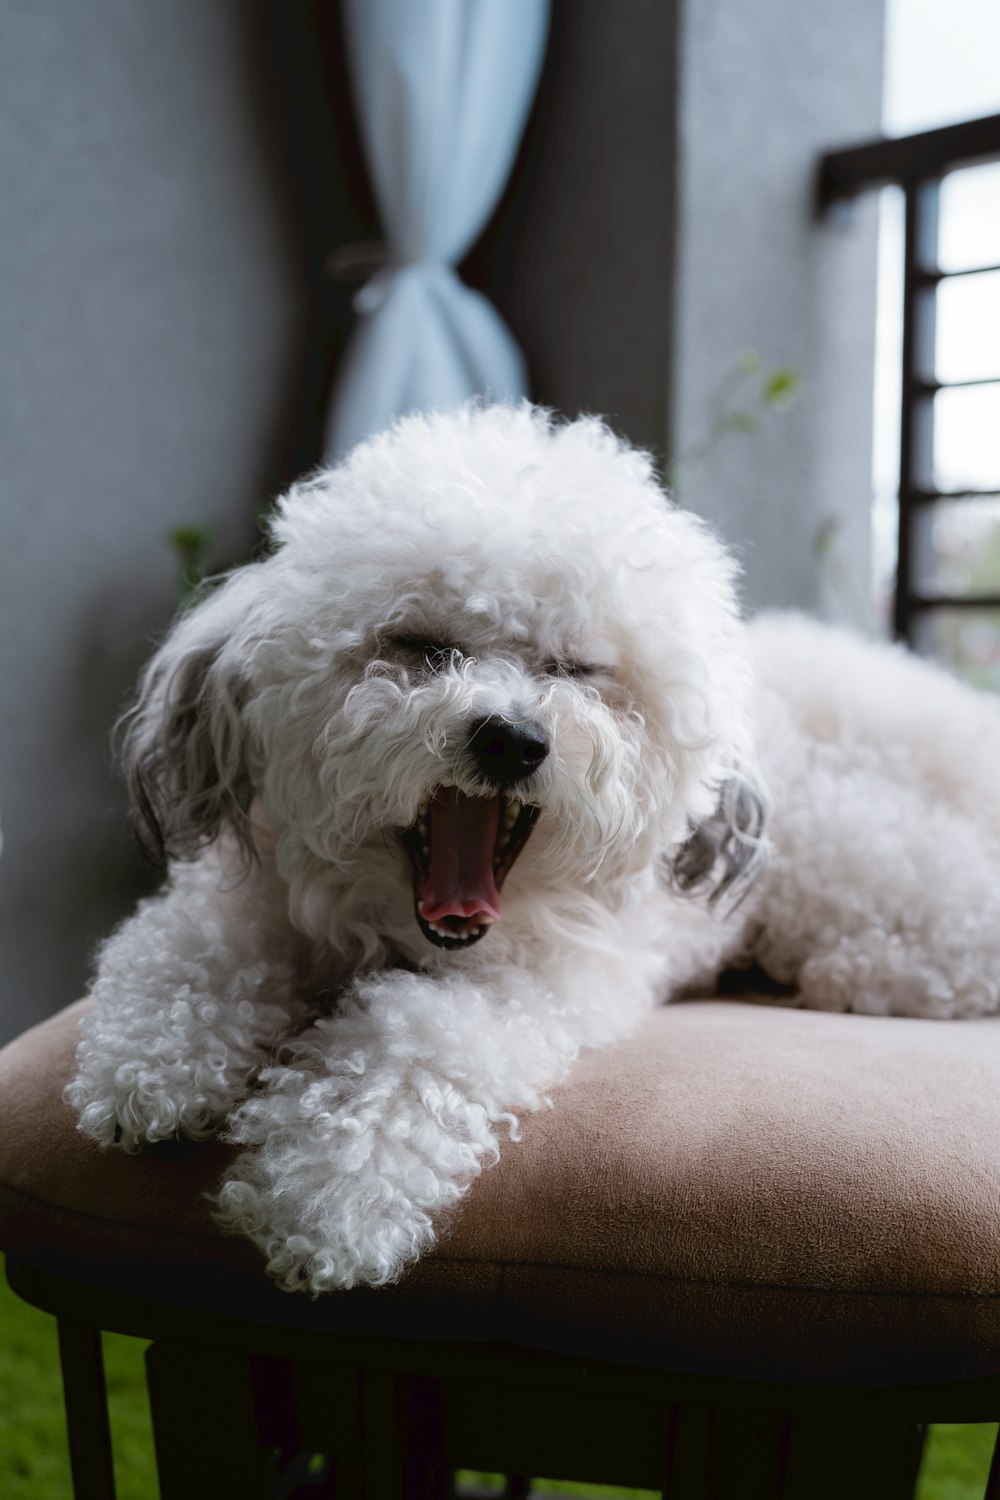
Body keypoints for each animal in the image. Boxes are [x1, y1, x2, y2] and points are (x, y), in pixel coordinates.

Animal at [66, 405, 1000, 1296]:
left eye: (576, 669)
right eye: (421, 645)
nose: (512, 738)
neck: (390, 929)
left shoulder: (533, 985)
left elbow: (409, 1045)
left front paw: (327, 1200)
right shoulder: (252, 898)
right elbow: (193, 950)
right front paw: (147, 1072)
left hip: (851, 857)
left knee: (962, 938)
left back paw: (850, 971)